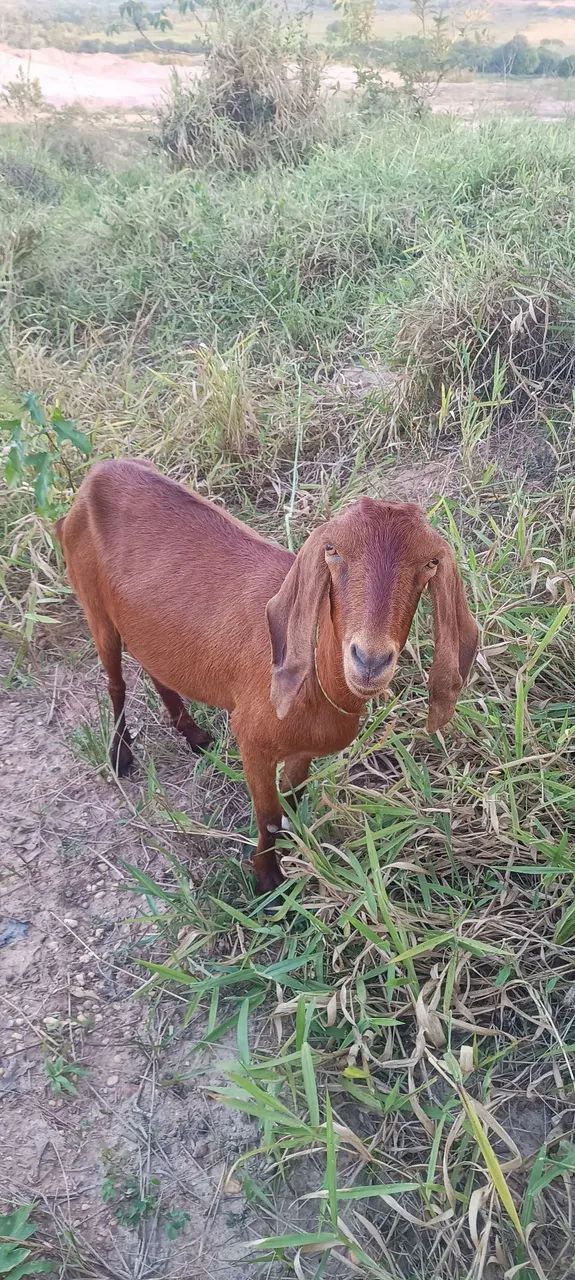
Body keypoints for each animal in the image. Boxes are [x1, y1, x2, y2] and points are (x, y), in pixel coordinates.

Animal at [56, 459, 478, 893]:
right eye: (332, 550)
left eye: (430, 563)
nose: (369, 660)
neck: (317, 687)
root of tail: (99, 473)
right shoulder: (252, 740)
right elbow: (269, 816)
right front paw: (268, 881)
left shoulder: (303, 751)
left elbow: (292, 799)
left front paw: (292, 850)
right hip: (94, 606)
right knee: (115, 682)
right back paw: (120, 754)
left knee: (156, 670)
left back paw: (192, 734)